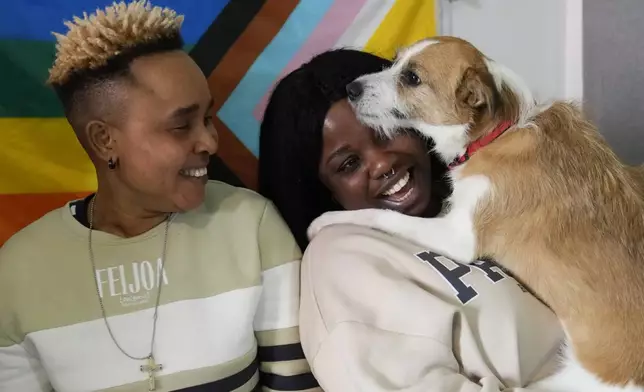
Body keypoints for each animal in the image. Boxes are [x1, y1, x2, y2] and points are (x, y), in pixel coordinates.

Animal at [306, 35, 644, 390]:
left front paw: (324, 221)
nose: (351, 88)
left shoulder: (458, 237)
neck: (500, 132)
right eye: (394, 61)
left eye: (412, 78)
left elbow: (383, 215)